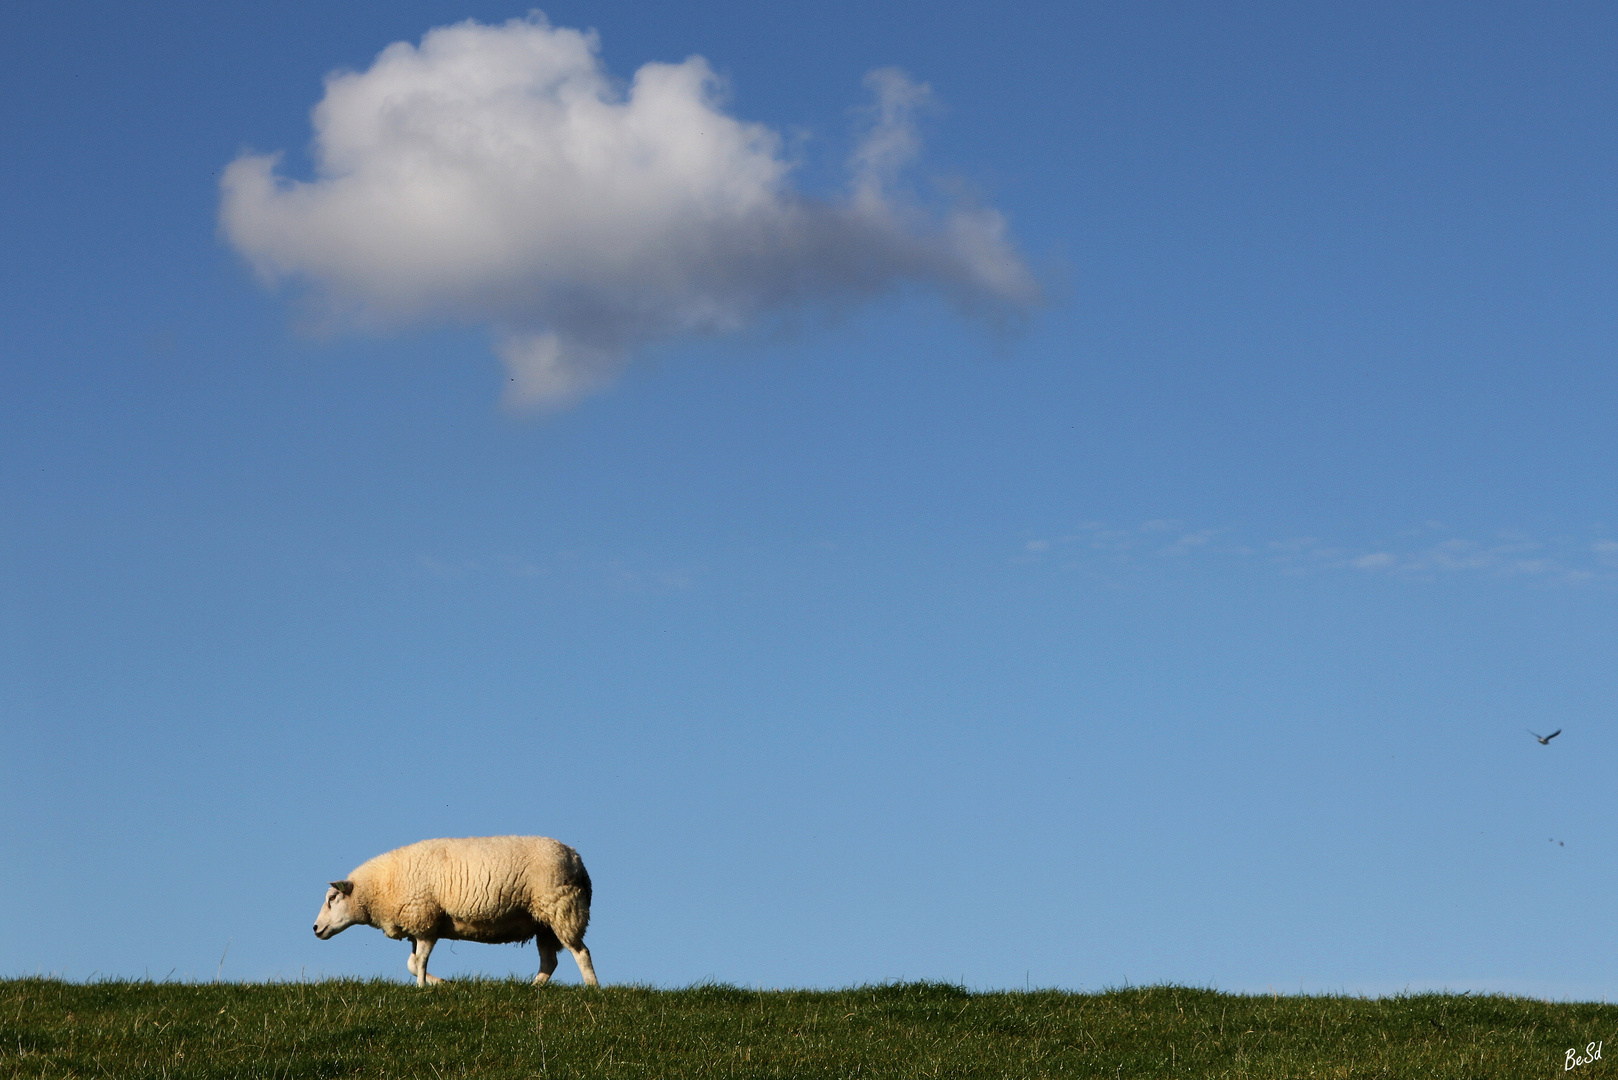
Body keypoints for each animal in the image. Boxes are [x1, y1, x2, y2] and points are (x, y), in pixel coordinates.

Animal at [312, 835, 598, 990]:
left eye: (332, 898)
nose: (315, 928)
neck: (380, 887)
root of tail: (577, 859)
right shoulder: (420, 926)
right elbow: (412, 963)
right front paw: (442, 983)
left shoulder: (425, 918)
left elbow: (420, 961)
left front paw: (422, 988)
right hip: (544, 922)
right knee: (550, 961)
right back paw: (533, 987)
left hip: (561, 908)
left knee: (581, 952)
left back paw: (592, 988)